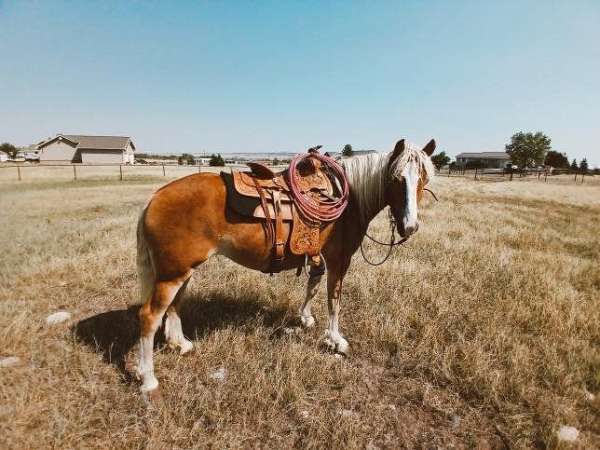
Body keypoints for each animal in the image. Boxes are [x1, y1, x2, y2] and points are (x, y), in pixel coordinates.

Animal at [134, 137, 434, 394]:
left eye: (424, 178)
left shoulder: (318, 255)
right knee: (149, 316)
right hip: (171, 275)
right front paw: (335, 340)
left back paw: (181, 344)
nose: (410, 226)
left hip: (182, 270)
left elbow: (313, 286)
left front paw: (305, 318)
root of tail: (154, 198)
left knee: (174, 305)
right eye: (396, 179)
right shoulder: (339, 259)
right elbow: (334, 299)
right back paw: (148, 379)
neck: (349, 199)